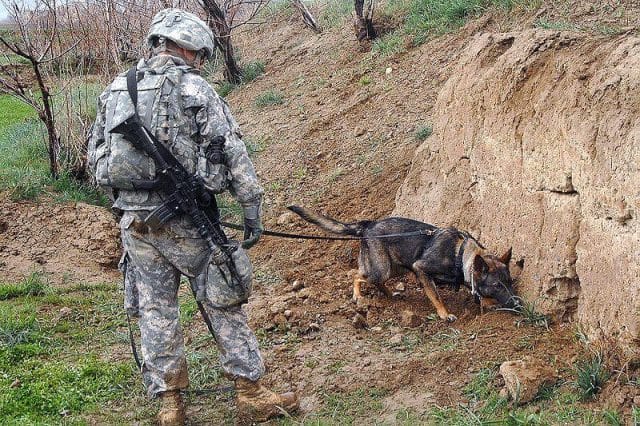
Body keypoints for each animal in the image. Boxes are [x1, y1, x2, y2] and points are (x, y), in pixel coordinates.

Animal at [288, 205, 520, 322]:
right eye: (497, 285)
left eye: (510, 282)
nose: (517, 304)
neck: (460, 255)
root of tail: (368, 225)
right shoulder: (421, 269)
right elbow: (436, 296)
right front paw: (445, 314)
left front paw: (487, 302)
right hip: (382, 269)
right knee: (357, 274)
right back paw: (358, 295)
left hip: (394, 269)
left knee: (374, 280)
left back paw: (389, 294)